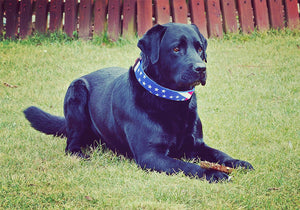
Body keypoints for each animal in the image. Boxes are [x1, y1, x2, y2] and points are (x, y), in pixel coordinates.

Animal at [24, 22, 253, 180]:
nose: (201, 68)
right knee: (71, 143)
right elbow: (187, 166)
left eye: (199, 49)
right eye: (176, 49)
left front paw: (237, 162)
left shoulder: (196, 145)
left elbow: (219, 154)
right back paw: (79, 154)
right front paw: (213, 174)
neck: (171, 102)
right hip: (76, 93)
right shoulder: (150, 155)